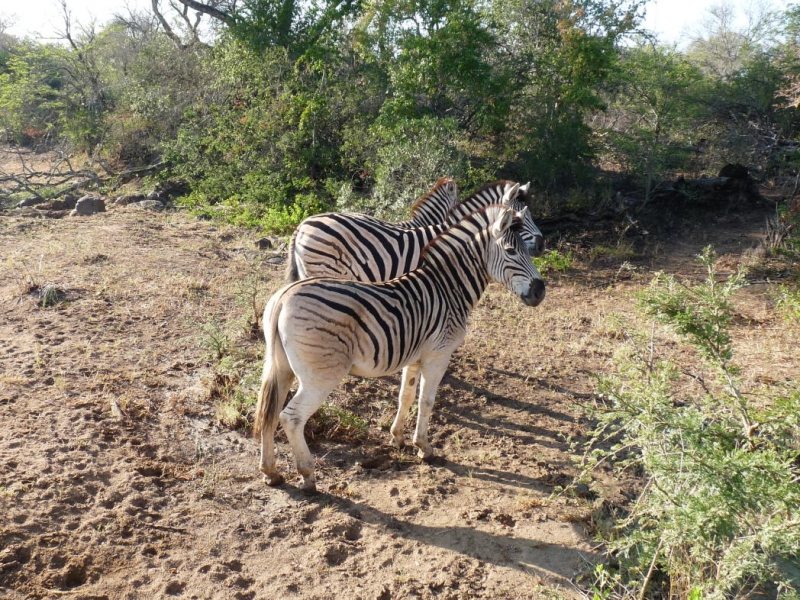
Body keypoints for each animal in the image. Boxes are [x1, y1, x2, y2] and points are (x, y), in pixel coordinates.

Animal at [253, 193, 548, 492]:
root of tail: (284, 297)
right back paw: (307, 475)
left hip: (282, 367)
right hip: (320, 375)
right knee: (291, 417)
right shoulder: (438, 355)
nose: (540, 292)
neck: (449, 288)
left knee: (269, 411)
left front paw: (397, 438)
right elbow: (427, 401)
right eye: (511, 251)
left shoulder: (414, 356)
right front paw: (424, 448)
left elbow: (405, 395)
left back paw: (270, 472)